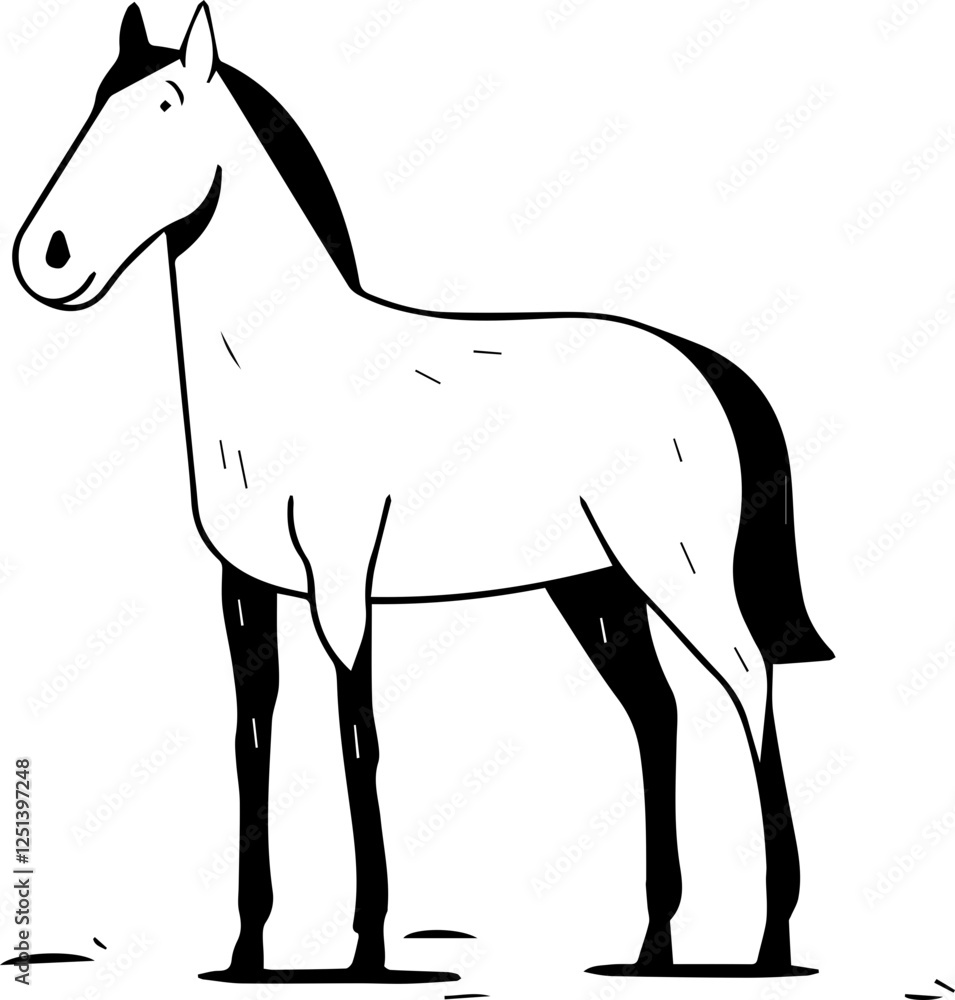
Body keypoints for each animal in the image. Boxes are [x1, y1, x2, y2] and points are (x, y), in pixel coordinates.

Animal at [13, 3, 833, 985]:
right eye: (94, 105)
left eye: (167, 105)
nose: (47, 259)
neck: (283, 366)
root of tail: (700, 363)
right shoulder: (245, 588)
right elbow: (253, 738)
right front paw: (247, 954)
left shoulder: (341, 583)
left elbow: (356, 735)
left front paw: (366, 949)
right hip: (595, 587)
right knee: (656, 714)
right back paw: (652, 947)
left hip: (678, 572)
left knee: (749, 688)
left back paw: (770, 942)